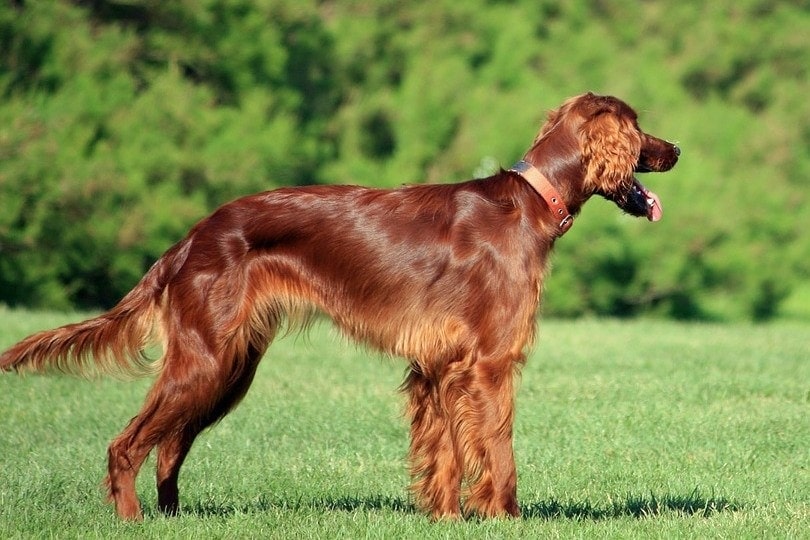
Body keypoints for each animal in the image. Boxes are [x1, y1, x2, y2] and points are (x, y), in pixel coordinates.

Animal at [1, 93, 676, 520]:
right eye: (639, 127)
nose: (675, 150)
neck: (531, 202)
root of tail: (192, 236)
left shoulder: (439, 366)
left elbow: (447, 456)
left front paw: (447, 518)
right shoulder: (487, 363)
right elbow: (499, 452)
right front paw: (507, 518)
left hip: (228, 365)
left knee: (169, 446)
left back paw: (172, 519)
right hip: (204, 358)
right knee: (128, 444)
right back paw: (133, 519)